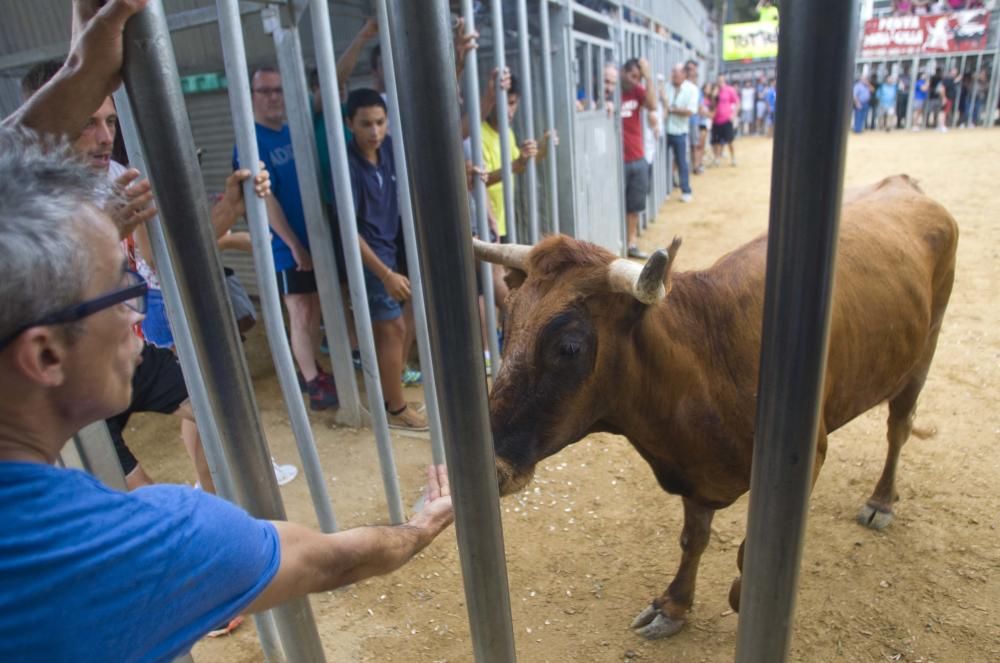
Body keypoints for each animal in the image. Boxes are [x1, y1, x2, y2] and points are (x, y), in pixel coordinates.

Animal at [476, 175, 960, 640]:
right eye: (506, 325)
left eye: (570, 346)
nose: (491, 466)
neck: (705, 363)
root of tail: (904, 184)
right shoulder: (693, 473)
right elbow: (694, 538)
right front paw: (672, 607)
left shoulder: (808, 458)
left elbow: (750, 555)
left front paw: (742, 600)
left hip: (925, 350)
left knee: (899, 427)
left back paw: (882, 501)